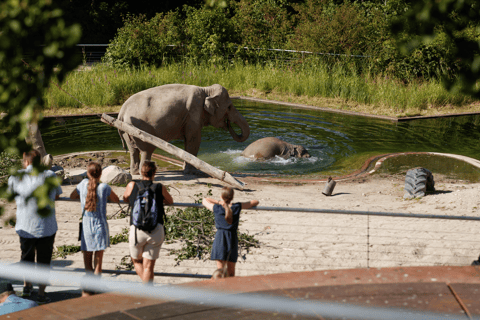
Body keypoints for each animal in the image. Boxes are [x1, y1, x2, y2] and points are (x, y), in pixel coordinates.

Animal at [117, 84, 249, 174]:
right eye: (229, 107)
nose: (228, 124)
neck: (206, 90)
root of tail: (122, 111)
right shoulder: (193, 114)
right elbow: (194, 140)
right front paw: (192, 172)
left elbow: (188, 141)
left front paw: (185, 169)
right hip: (138, 127)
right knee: (146, 150)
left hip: (126, 129)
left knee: (133, 150)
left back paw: (135, 172)